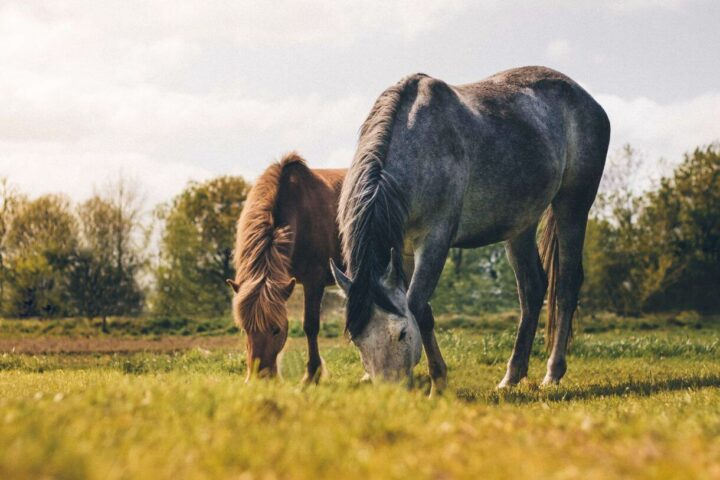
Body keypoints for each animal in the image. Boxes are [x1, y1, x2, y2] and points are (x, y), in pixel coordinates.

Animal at [228, 154, 346, 382]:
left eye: (276, 330)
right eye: (246, 329)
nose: (259, 378)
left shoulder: (314, 281)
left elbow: (310, 326)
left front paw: (312, 375)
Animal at [330, 64, 608, 394]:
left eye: (401, 334)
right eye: (357, 341)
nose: (390, 393)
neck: (416, 144)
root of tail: (587, 100)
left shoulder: (435, 241)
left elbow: (417, 306)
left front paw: (438, 383)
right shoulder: (404, 250)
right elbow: (423, 310)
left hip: (572, 207)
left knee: (564, 286)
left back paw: (553, 372)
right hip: (521, 225)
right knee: (532, 290)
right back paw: (512, 376)